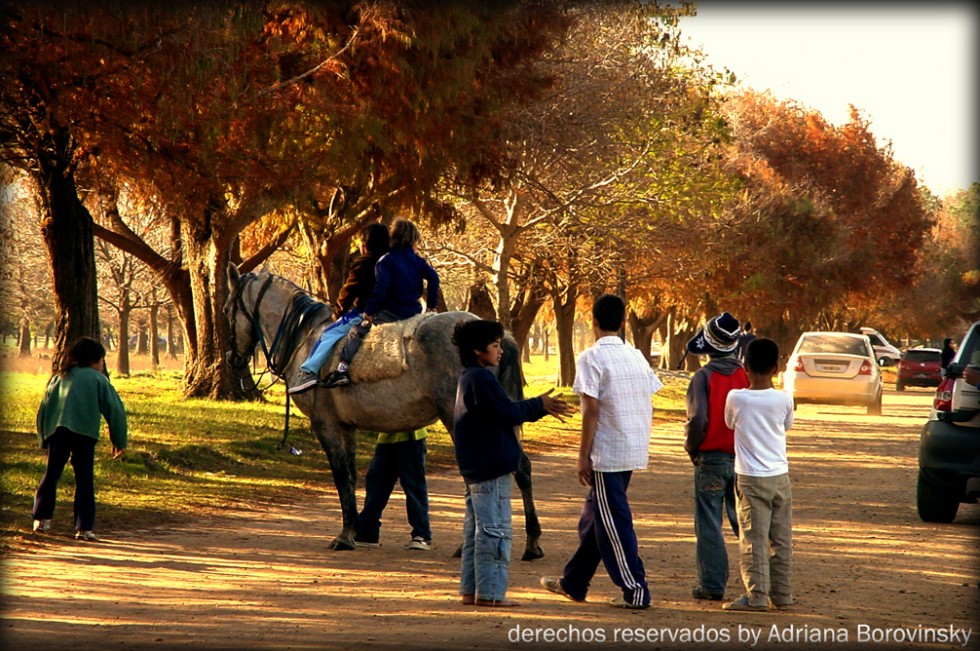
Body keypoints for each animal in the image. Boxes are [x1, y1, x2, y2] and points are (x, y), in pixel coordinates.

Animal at [224, 264, 544, 560]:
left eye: (227, 308)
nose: (231, 357)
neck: (308, 337)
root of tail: (497, 336)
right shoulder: (346, 427)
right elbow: (352, 476)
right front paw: (353, 531)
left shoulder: (326, 426)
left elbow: (341, 477)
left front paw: (345, 536)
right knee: (521, 467)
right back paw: (531, 543)